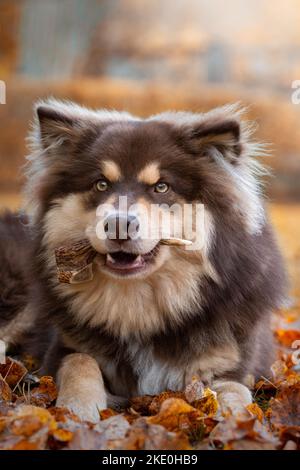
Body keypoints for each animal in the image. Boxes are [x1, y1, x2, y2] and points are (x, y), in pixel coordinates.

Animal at [0, 100, 286, 422]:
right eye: (101, 184)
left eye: (161, 187)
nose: (118, 224)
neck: (138, 307)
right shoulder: (63, 347)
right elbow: (80, 362)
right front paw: (78, 409)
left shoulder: (232, 362)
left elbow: (236, 392)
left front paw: (236, 419)